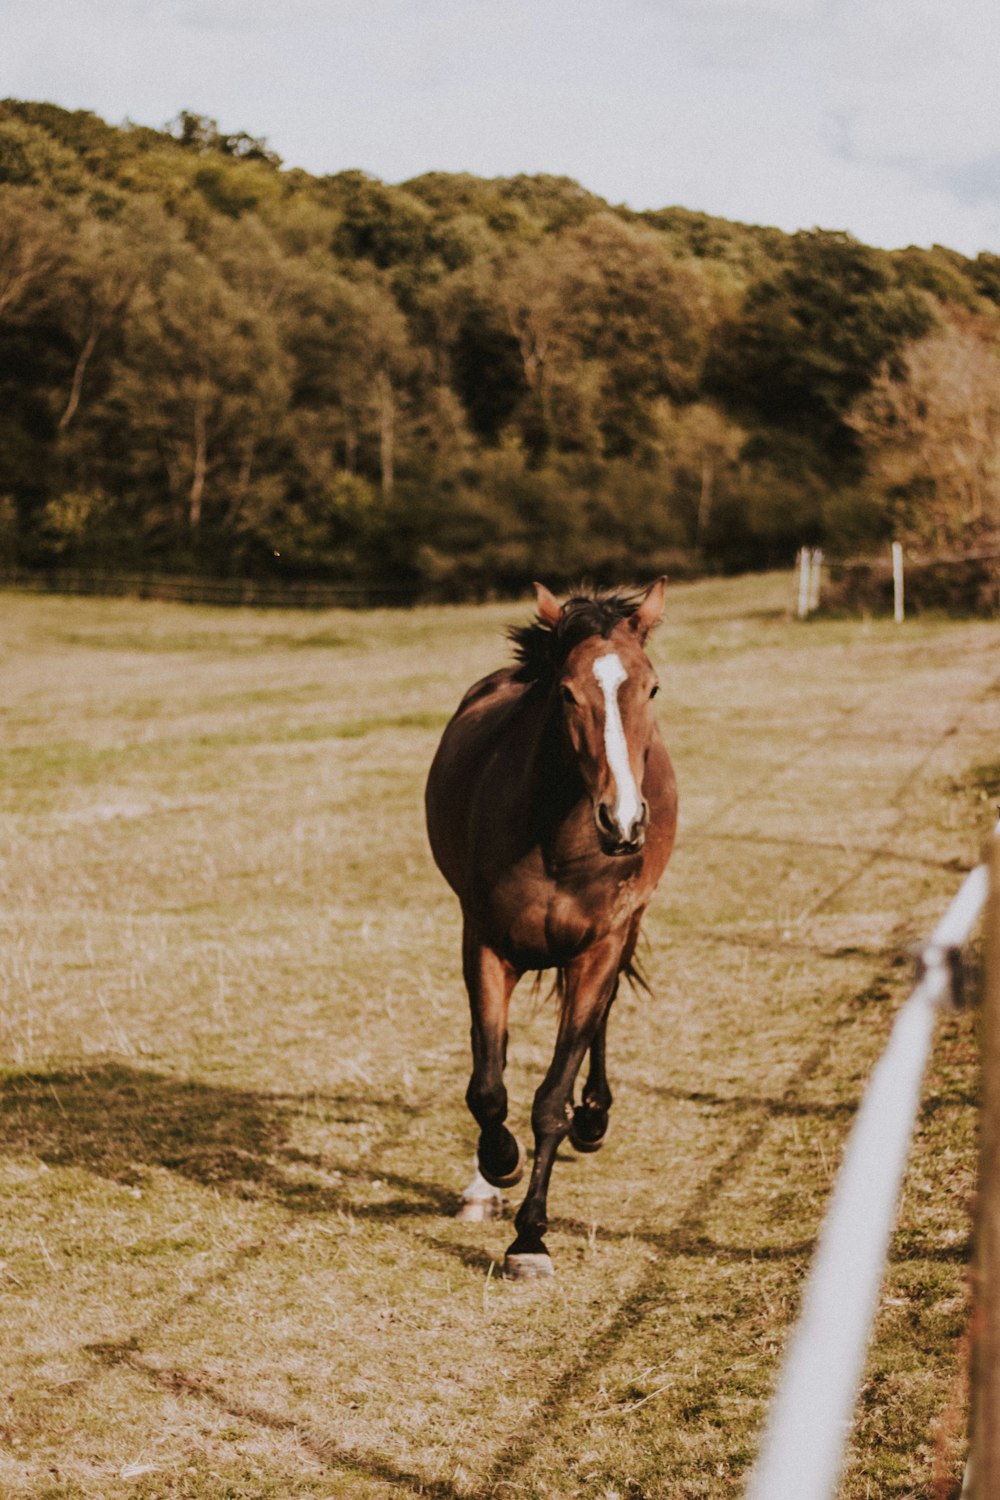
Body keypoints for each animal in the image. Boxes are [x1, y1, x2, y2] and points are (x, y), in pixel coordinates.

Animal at [425, 579, 680, 1284]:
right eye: (566, 692)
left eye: (651, 688)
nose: (623, 822)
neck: (558, 841)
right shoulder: (485, 944)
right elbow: (488, 1088)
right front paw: (498, 1165)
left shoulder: (598, 947)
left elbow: (550, 1099)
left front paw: (530, 1239)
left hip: (624, 930)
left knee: (602, 1018)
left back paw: (594, 1119)